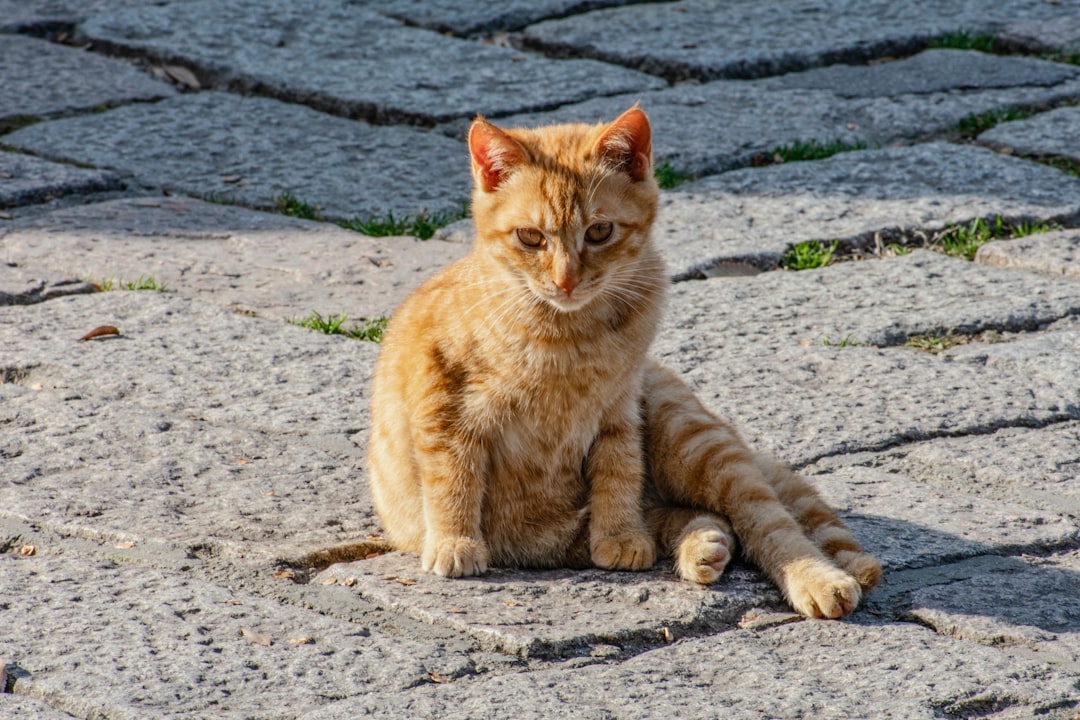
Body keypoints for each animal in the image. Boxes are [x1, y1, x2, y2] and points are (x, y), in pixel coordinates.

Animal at [367, 105, 881, 621]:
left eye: (599, 231)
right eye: (531, 238)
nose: (567, 281)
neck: (569, 337)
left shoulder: (619, 409)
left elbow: (618, 470)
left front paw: (618, 535)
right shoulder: (445, 406)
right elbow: (452, 477)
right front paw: (455, 542)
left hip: (694, 445)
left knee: (766, 520)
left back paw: (815, 578)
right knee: (703, 516)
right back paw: (704, 548)